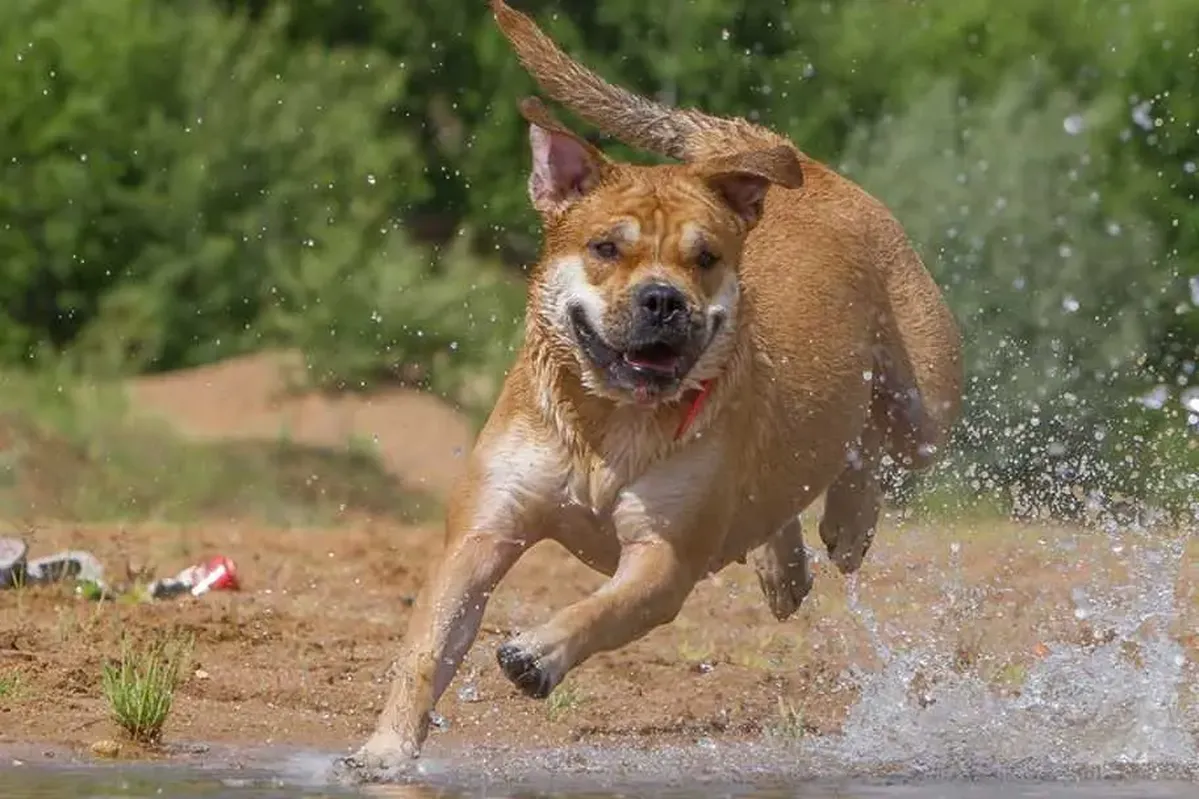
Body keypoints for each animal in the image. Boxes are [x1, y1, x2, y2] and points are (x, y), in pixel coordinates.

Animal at [338, 0, 963, 772]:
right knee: (783, 499)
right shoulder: (484, 530)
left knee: (869, 449)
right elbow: (427, 645)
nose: (663, 299)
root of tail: (805, 165)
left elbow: (601, 607)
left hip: (923, 405)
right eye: (606, 247)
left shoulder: (664, 558)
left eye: (706, 258)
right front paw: (386, 749)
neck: (605, 421)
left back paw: (848, 520)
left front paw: (535, 652)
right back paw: (781, 566)